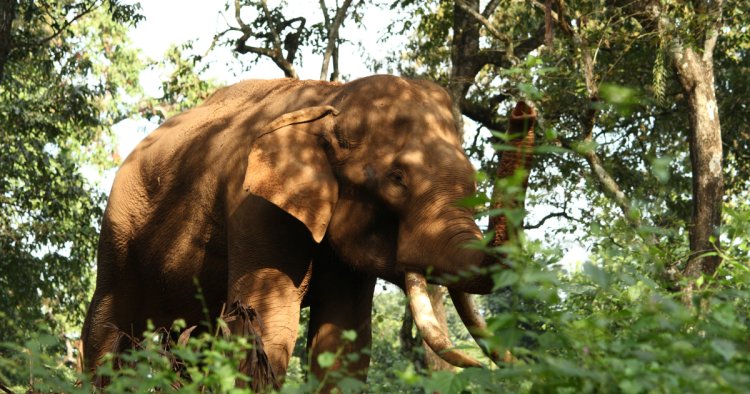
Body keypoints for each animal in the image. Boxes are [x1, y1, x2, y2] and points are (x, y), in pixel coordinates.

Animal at [82, 74, 536, 388]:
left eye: (473, 181)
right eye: (397, 179)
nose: (524, 109)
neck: (331, 101)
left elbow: (345, 338)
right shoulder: (254, 206)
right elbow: (269, 321)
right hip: (119, 229)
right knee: (106, 330)